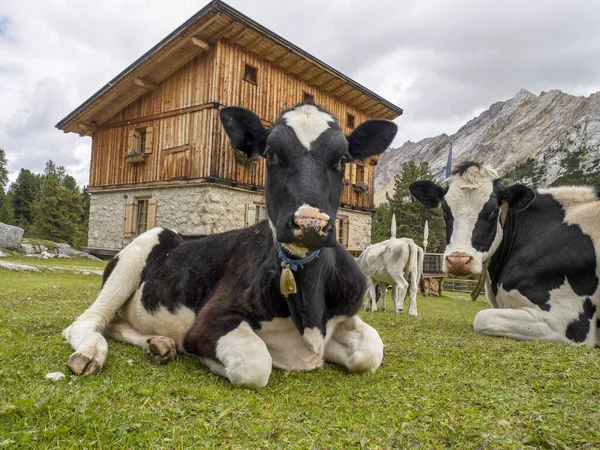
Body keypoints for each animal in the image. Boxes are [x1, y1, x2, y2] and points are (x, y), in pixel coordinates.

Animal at [63, 101, 398, 386]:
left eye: (343, 159)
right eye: (270, 153)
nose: (310, 223)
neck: (308, 313)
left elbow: (372, 350)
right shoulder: (210, 321)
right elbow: (254, 364)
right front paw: (201, 356)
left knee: (114, 324)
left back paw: (159, 343)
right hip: (136, 253)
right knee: (87, 322)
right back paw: (91, 353)